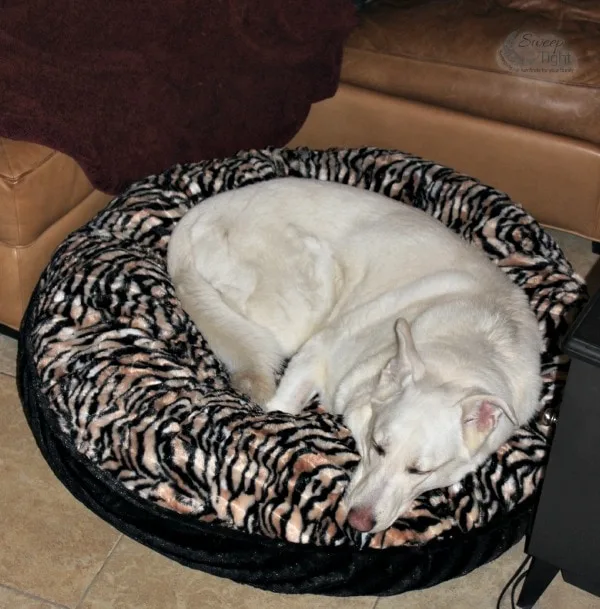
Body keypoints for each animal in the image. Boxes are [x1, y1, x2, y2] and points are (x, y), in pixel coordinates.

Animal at [166, 177, 540, 532]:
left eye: (421, 471)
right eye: (378, 446)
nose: (358, 522)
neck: (463, 352)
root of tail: (196, 215)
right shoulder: (314, 354)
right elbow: (281, 408)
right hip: (302, 308)